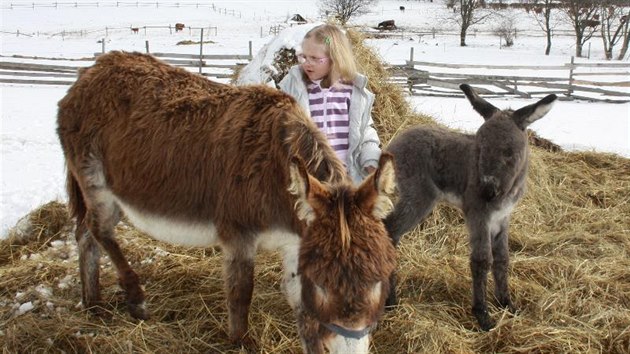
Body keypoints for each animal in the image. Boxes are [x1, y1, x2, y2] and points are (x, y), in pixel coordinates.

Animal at [386, 84, 556, 330]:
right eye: (480, 146)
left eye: (509, 152)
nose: (487, 191)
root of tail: (397, 141)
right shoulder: (478, 214)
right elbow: (482, 259)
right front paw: (483, 316)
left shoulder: (502, 218)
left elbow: (502, 259)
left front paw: (507, 304)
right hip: (419, 197)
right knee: (390, 229)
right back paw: (390, 301)